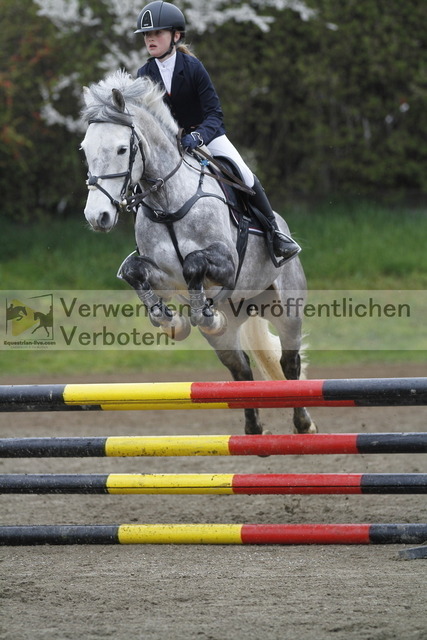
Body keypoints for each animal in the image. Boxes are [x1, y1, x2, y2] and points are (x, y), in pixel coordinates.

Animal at [80, 70, 317, 435]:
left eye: (122, 149)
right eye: (85, 150)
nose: (98, 217)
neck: (167, 203)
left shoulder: (227, 264)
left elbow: (194, 263)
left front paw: (201, 312)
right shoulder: (163, 275)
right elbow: (135, 271)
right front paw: (169, 320)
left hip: (288, 308)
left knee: (289, 363)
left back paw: (303, 423)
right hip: (229, 335)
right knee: (241, 370)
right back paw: (253, 429)